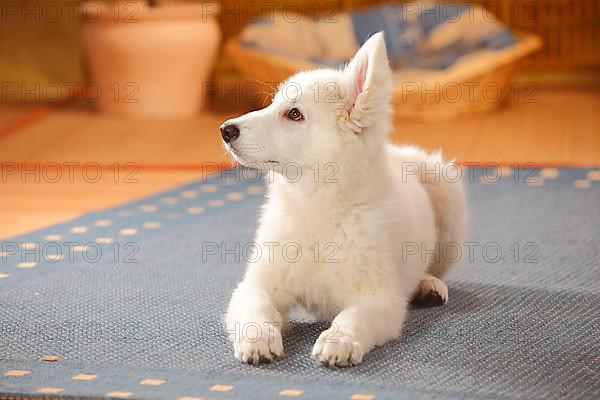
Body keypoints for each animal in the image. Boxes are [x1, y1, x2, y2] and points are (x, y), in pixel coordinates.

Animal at [220, 32, 468, 368]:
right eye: (273, 104)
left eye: (294, 114)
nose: (225, 129)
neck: (317, 204)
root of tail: (400, 153)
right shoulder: (258, 284)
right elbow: (256, 308)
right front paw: (258, 339)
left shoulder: (380, 299)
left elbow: (353, 317)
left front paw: (338, 340)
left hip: (447, 197)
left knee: (434, 269)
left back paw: (428, 285)